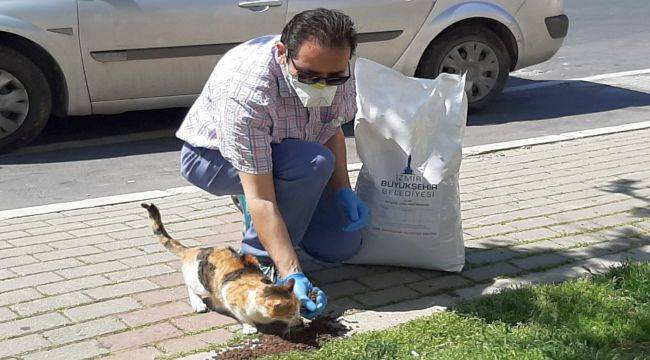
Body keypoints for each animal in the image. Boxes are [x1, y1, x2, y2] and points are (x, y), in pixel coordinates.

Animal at [140, 204, 300, 334]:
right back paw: (198, 304)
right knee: (190, 288)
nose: (297, 317)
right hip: (201, 283)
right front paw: (250, 327)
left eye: (299, 309)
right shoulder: (232, 301)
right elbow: (244, 317)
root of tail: (193, 250)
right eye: (291, 314)